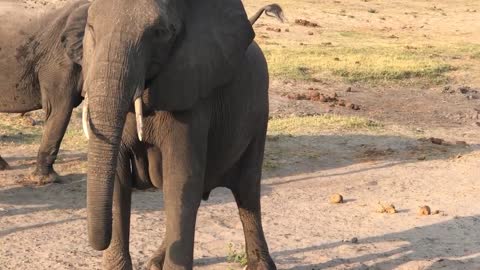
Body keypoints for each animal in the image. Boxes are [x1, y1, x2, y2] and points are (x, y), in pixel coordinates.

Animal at [65, 0, 280, 268]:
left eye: (160, 33)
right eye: (91, 28)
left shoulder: (194, 97)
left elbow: (181, 179)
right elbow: (118, 180)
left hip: (259, 115)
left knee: (247, 190)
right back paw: (155, 261)